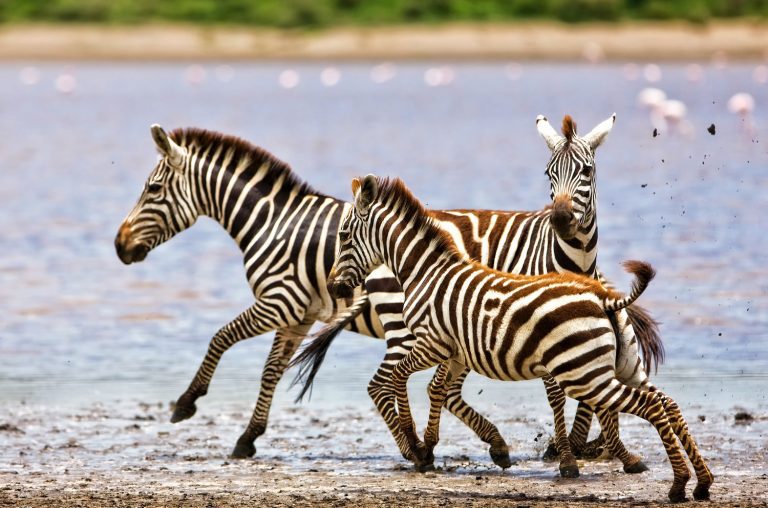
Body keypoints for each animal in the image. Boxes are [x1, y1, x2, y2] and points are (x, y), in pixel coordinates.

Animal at [292, 113, 664, 474]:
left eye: (587, 170)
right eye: (548, 173)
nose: (560, 219)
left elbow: (588, 393)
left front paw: (582, 447)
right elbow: (562, 394)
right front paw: (569, 453)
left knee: (429, 387)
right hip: (409, 331)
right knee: (388, 384)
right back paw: (422, 449)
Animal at [324, 176, 712, 504]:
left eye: (343, 236)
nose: (333, 288)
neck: (425, 272)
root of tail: (604, 299)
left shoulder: (431, 343)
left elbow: (398, 378)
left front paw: (415, 439)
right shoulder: (456, 351)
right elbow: (437, 390)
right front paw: (428, 446)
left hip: (585, 375)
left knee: (652, 406)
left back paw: (678, 485)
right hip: (621, 367)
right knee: (668, 403)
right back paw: (702, 482)